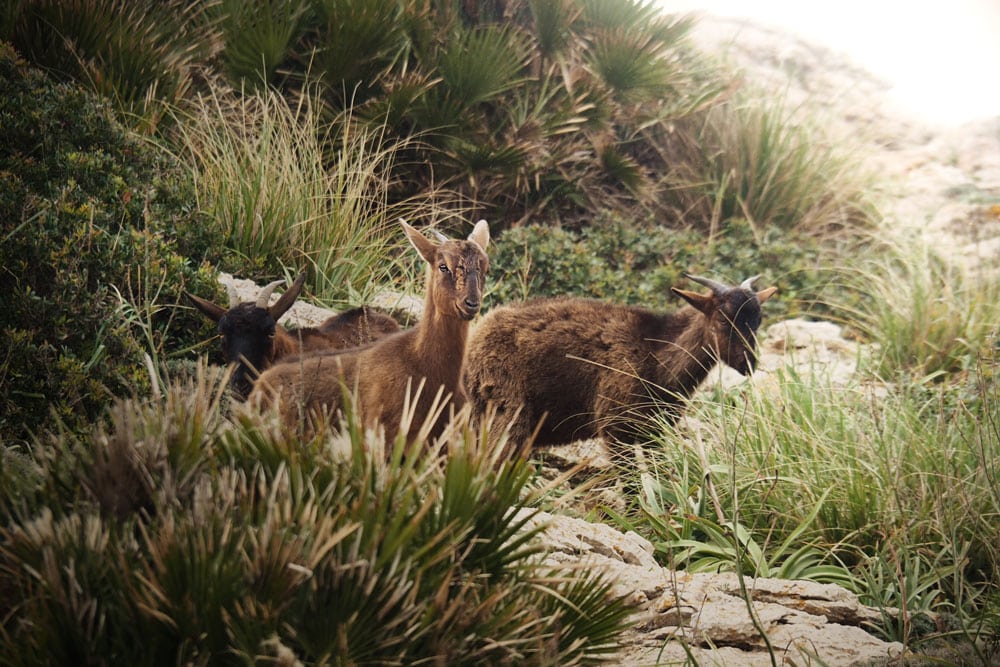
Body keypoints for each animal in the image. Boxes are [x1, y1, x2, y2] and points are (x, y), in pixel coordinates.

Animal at [464, 274, 776, 452]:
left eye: (758, 320)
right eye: (723, 319)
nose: (748, 362)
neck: (656, 355)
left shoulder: (655, 432)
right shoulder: (616, 428)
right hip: (506, 411)